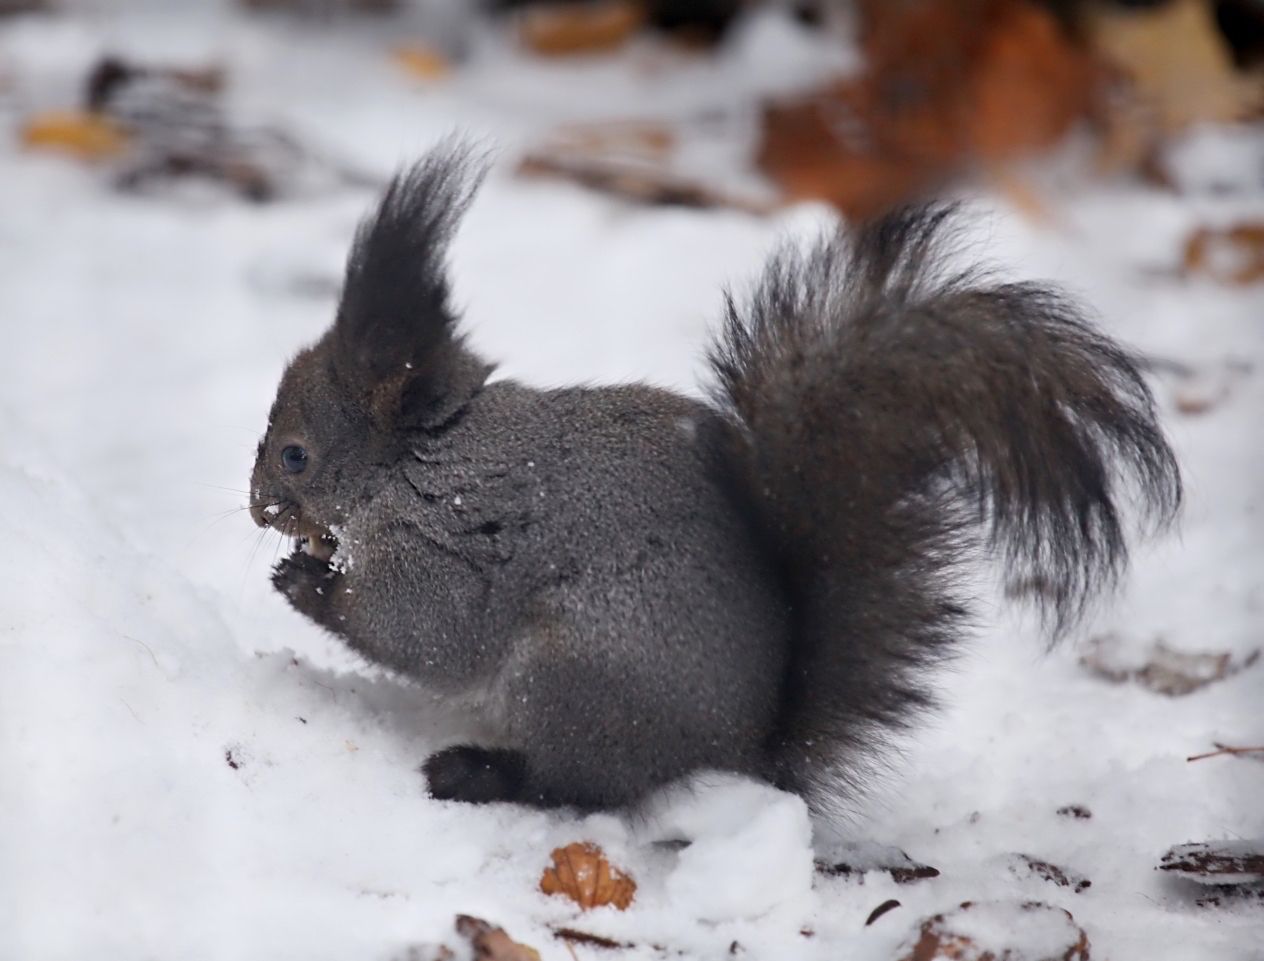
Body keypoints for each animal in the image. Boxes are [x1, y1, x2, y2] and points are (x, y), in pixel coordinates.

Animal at [250, 146, 1181, 813]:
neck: (418, 458)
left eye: (295, 453)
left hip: (576, 674)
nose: (258, 510)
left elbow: (422, 633)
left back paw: (480, 772)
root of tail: (743, 753)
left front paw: (308, 583)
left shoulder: (444, 543)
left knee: (579, 786)